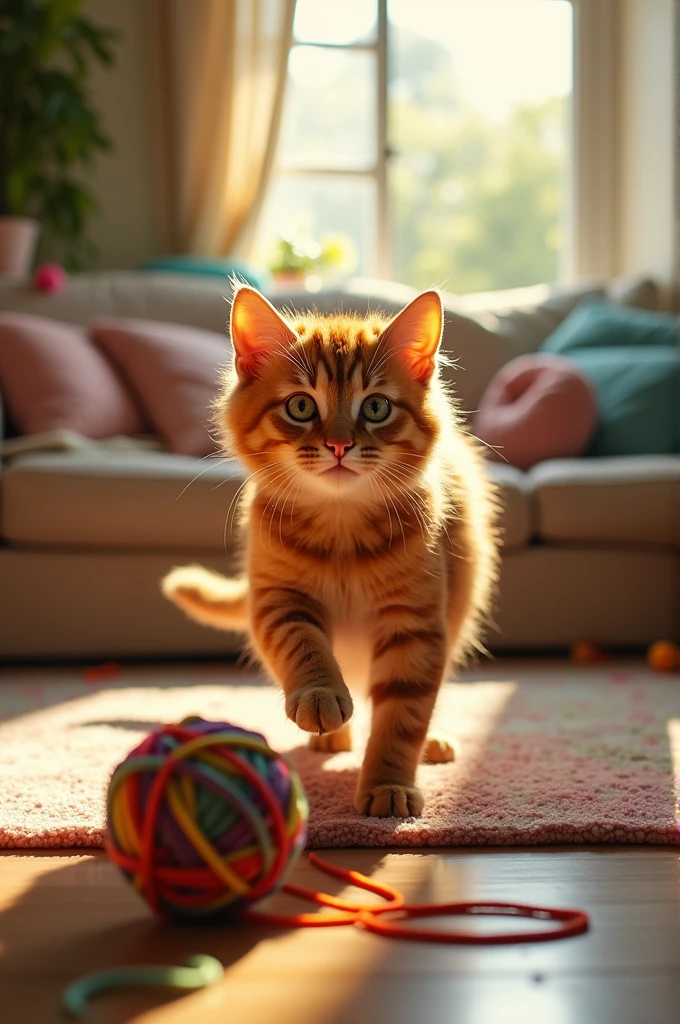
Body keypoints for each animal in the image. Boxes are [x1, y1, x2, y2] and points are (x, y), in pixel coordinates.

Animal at [160, 284, 499, 819]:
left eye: (376, 408)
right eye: (301, 406)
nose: (339, 444)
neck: (342, 530)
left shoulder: (416, 624)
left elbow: (403, 715)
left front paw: (388, 783)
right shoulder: (278, 599)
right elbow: (304, 645)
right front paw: (321, 696)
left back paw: (431, 742)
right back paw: (331, 733)